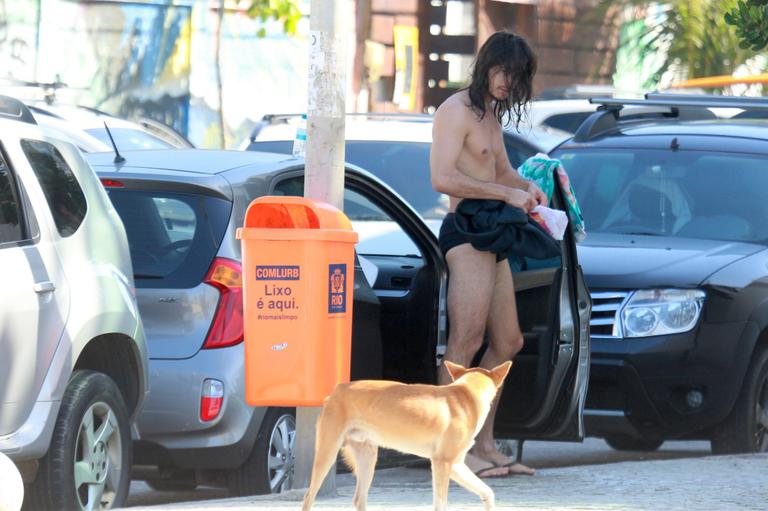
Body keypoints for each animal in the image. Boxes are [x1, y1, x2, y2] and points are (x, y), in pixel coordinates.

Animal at [304, 360, 512, 511]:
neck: (466, 394)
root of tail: (336, 391)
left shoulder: (456, 465)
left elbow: (488, 492)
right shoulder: (442, 463)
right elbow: (440, 504)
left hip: (367, 460)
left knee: (359, 500)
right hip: (327, 456)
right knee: (308, 498)